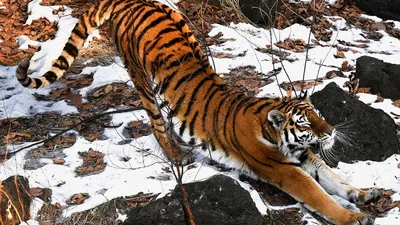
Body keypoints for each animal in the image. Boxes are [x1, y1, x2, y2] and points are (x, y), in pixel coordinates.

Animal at [16, 0, 382, 224]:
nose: (331, 131)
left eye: (318, 113)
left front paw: (364, 193)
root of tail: (134, 2)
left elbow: (334, 179)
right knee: (157, 123)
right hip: (142, 79)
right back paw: (176, 155)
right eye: (306, 122)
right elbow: (320, 196)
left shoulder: (307, 157)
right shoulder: (284, 170)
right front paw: (354, 216)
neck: (281, 136)